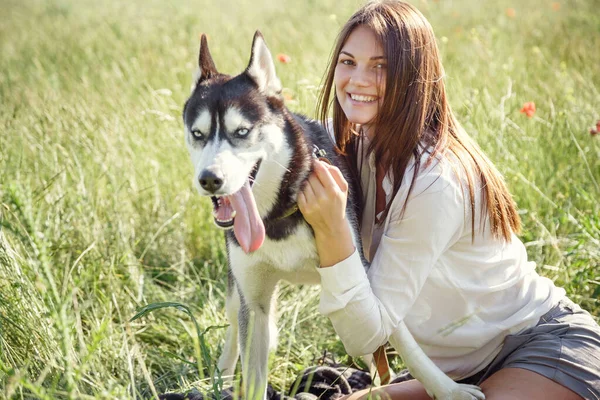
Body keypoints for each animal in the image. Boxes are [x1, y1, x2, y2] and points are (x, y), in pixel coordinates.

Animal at [184, 32, 488, 400]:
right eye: (197, 134)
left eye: (242, 132)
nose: (209, 180)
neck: (280, 212)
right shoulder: (253, 304)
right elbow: (252, 363)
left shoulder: (363, 275)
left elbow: (402, 339)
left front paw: (448, 389)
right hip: (237, 290)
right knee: (234, 324)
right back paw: (223, 375)